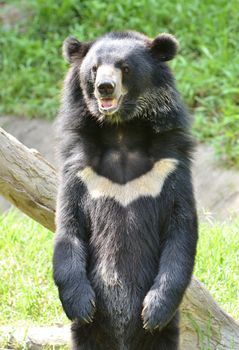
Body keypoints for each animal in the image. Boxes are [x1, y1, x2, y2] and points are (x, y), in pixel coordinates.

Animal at [53, 30, 198, 350]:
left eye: (125, 67)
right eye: (94, 69)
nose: (104, 88)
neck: (121, 132)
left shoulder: (170, 166)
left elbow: (180, 231)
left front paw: (153, 311)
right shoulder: (79, 169)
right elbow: (68, 228)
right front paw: (81, 305)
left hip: (165, 335)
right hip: (88, 334)